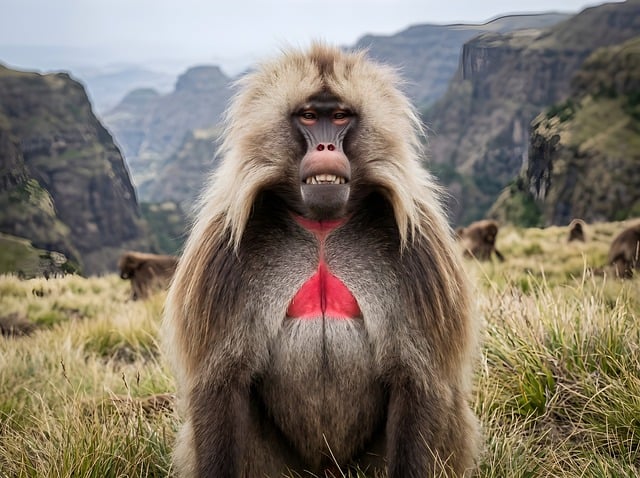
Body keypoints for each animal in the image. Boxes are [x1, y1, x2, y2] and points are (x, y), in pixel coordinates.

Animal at [163, 43, 480, 478]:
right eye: (310, 116)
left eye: (341, 116)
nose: (326, 148)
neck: (322, 229)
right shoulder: (222, 251)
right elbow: (220, 383)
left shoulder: (422, 251)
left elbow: (420, 381)